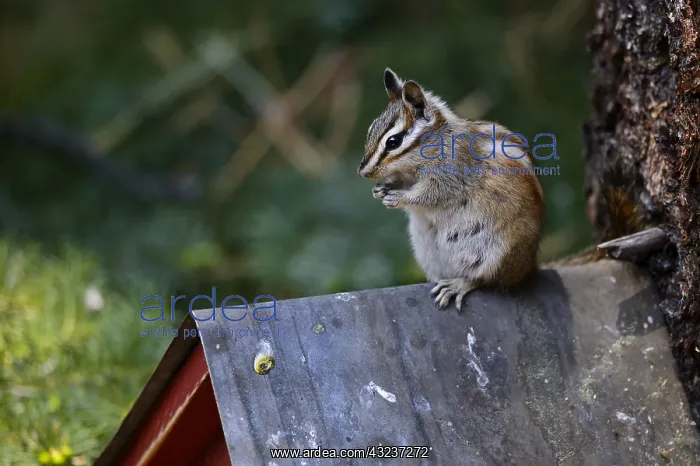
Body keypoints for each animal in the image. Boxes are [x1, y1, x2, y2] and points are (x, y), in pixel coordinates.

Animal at [358, 68, 545, 312]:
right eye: (370, 130)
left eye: (393, 141)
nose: (363, 172)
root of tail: (528, 268)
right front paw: (381, 190)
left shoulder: (452, 175)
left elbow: (431, 195)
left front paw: (398, 197)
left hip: (499, 252)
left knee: (487, 279)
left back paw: (459, 284)